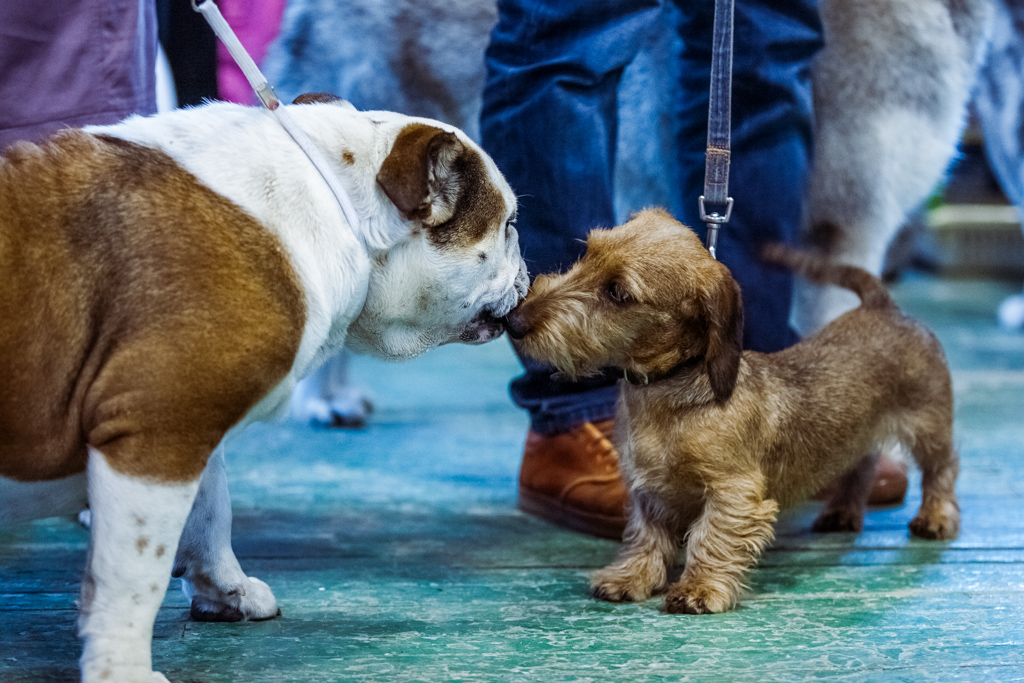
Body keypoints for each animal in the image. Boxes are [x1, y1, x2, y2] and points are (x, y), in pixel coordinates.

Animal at [503, 208, 958, 614]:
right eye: (587, 252)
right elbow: (644, 536)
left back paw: (936, 517)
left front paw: (699, 589)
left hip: (929, 427)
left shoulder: (733, 491)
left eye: (617, 292)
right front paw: (631, 577)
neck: (670, 390)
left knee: (942, 468)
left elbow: (711, 538)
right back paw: (842, 511)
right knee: (862, 464)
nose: (516, 320)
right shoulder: (648, 489)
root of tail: (881, 306)